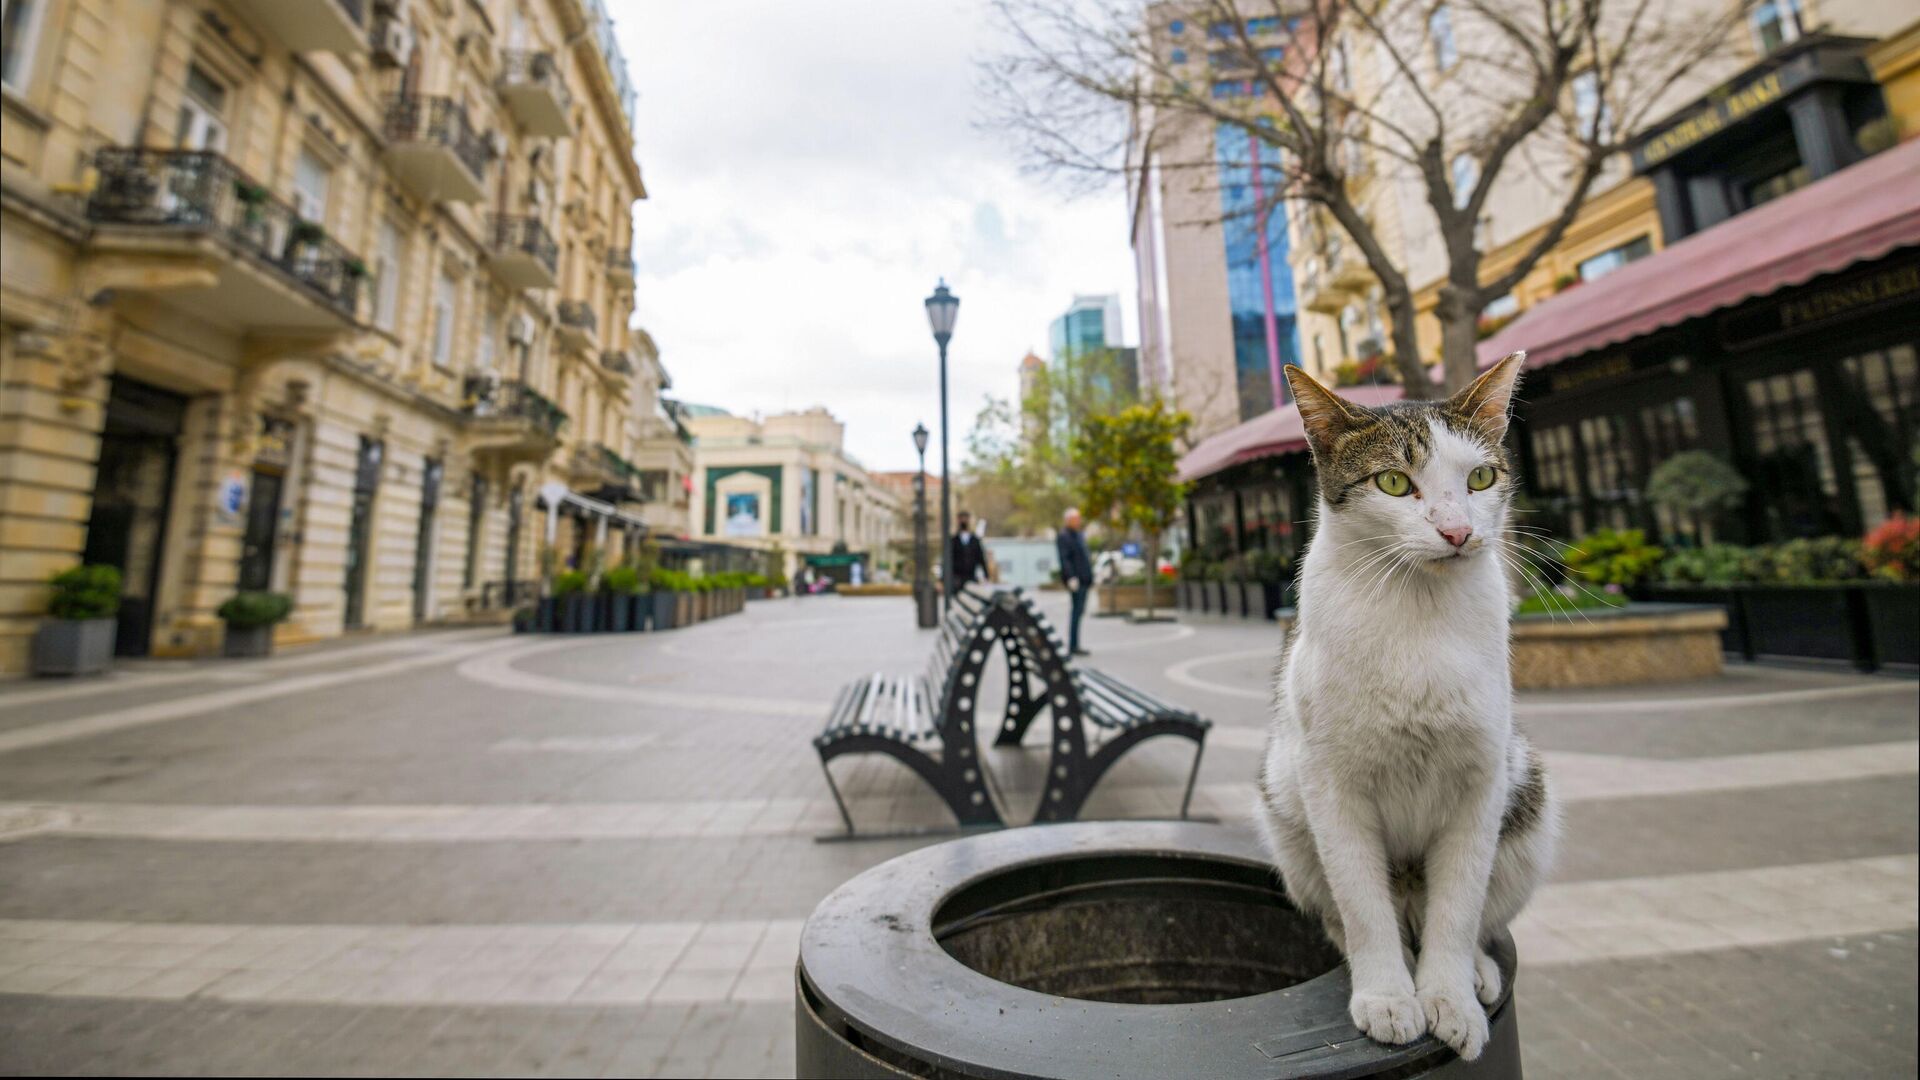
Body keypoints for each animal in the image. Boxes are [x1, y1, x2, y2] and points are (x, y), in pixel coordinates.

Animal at [1259, 349, 1559, 1053]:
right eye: (1394, 483)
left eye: (1481, 477)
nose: (1457, 532)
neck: (1418, 607)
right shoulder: (1329, 784)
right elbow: (1362, 906)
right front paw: (1390, 997)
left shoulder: (1483, 779)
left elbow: (1459, 906)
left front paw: (1448, 997)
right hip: (1285, 815)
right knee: (1347, 910)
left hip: (1528, 797)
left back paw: (1474, 969)